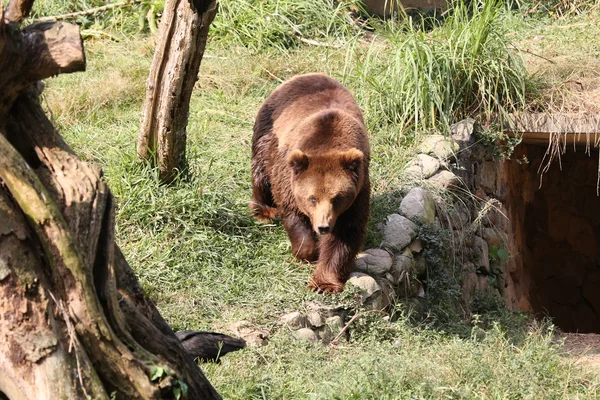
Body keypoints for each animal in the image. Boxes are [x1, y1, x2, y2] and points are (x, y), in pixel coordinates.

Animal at [248, 73, 370, 292]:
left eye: (337, 198)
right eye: (312, 198)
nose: (323, 227)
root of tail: (303, 76)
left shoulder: (358, 190)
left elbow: (345, 233)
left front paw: (324, 283)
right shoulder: (288, 174)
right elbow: (292, 210)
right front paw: (308, 251)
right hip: (268, 130)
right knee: (260, 171)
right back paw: (264, 211)